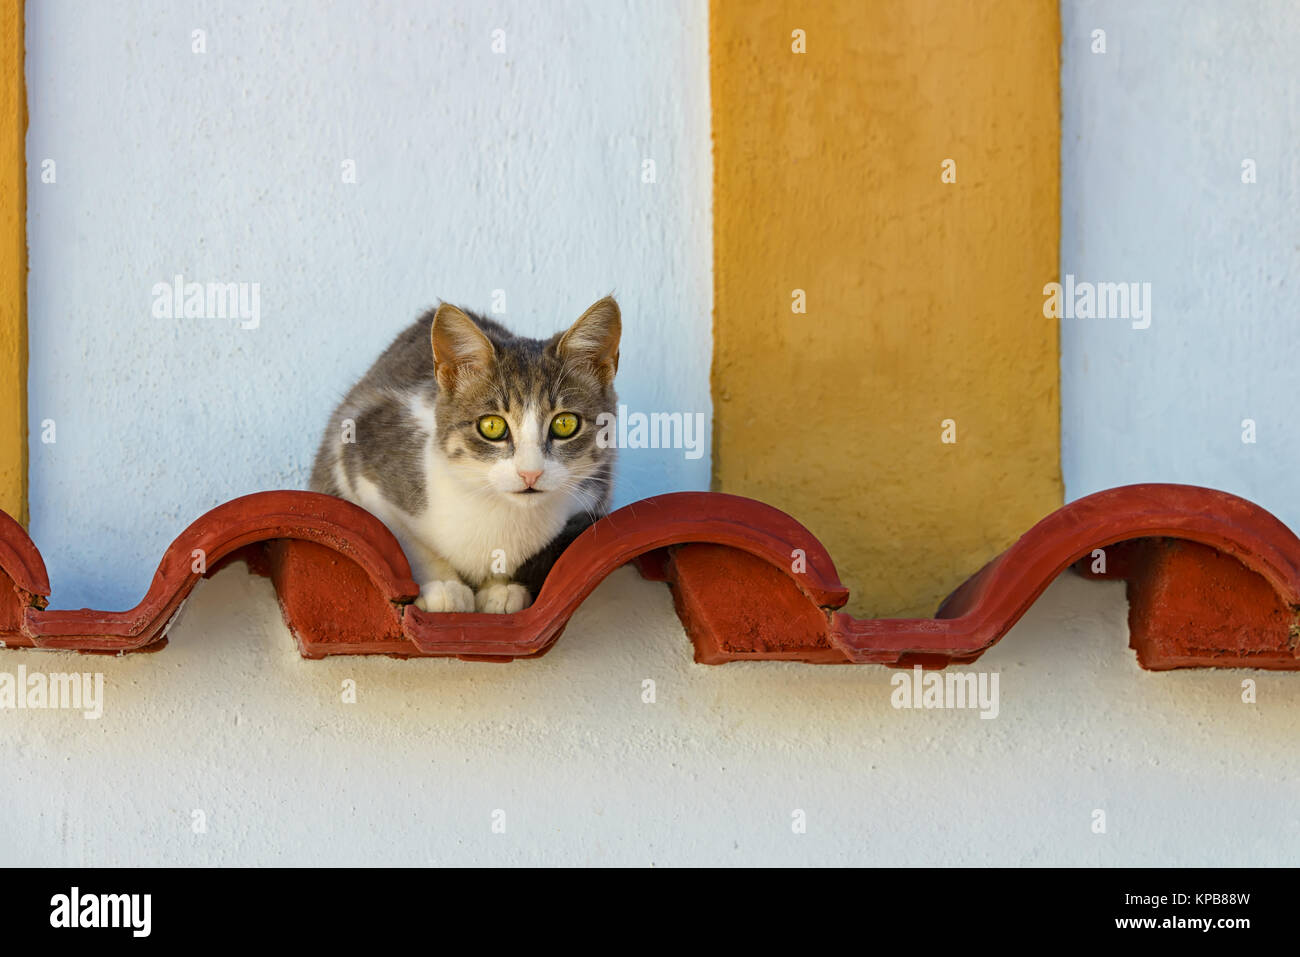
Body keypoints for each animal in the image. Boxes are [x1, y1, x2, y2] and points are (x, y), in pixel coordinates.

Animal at [312, 295, 621, 616]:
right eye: (492, 426)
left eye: (565, 423)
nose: (530, 473)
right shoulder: (361, 452)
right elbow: (402, 538)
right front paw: (443, 586)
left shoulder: (593, 493)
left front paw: (502, 590)